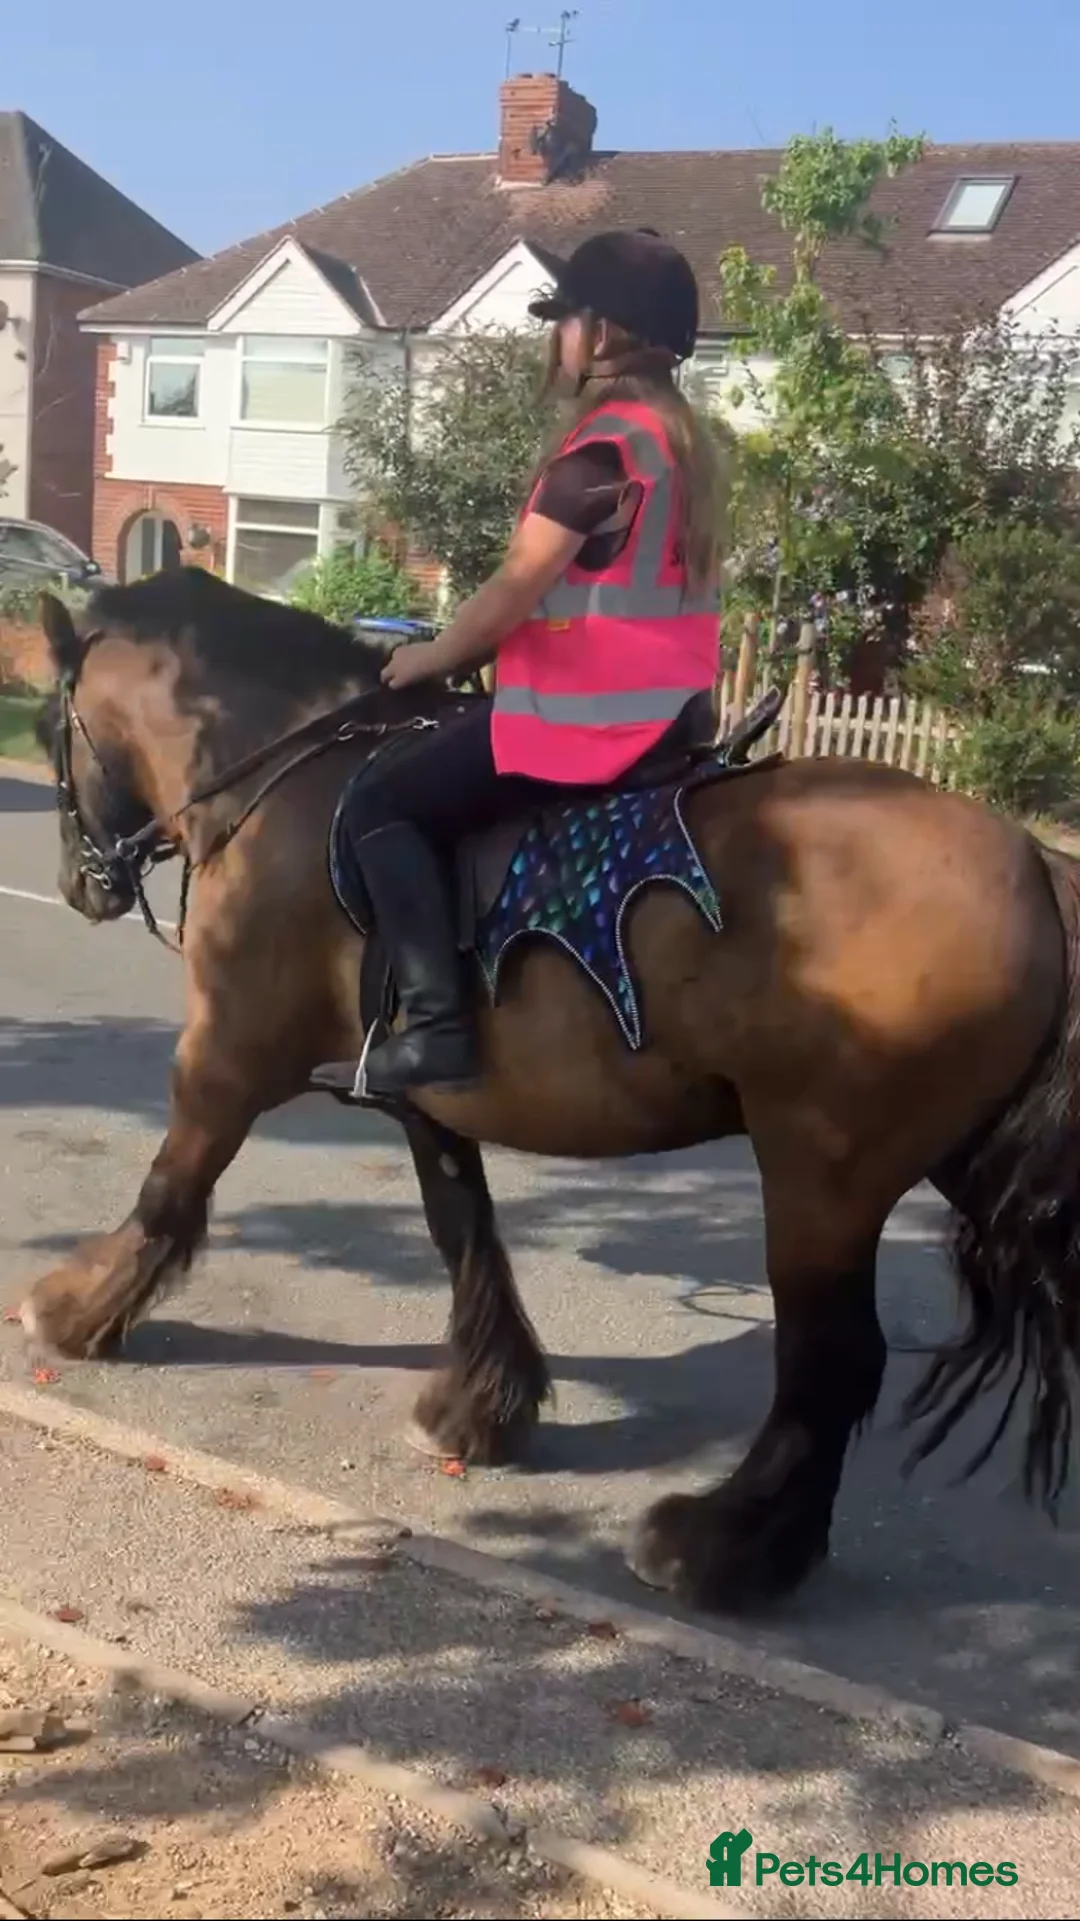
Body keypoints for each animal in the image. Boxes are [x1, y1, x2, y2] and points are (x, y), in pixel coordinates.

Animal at [18, 565, 1080, 1616]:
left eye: (43, 724)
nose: (81, 884)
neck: (292, 778)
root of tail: (1032, 861)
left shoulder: (230, 1053)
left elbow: (171, 1185)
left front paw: (73, 1309)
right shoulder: (424, 1094)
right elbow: (463, 1230)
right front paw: (482, 1406)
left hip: (822, 1173)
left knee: (833, 1363)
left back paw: (722, 1546)